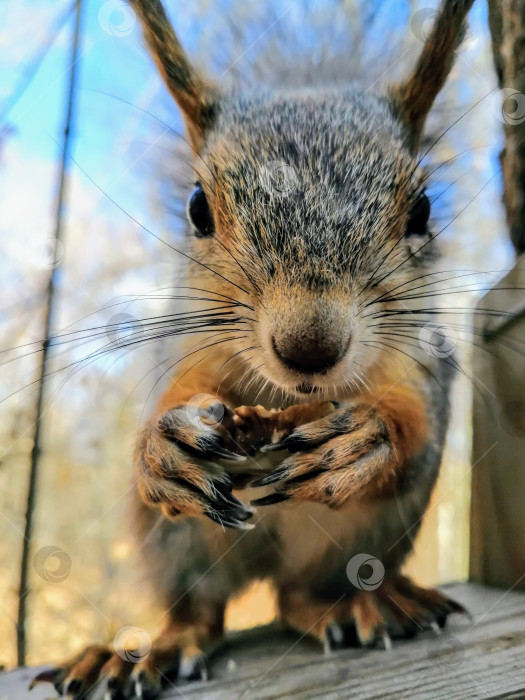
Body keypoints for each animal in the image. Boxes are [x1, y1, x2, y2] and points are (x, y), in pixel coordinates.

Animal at [32, 0, 474, 696]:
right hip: (177, 547)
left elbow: (415, 423)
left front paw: (367, 436)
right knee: (201, 614)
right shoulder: (191, 344)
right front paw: (163, 445)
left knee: (299, 598)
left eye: (423, 211)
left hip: (359, 540)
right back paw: (145, 651)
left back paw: (365, 605)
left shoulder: (420, 359)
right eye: (197, 208)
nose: (310, 346)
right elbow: (172, 400)